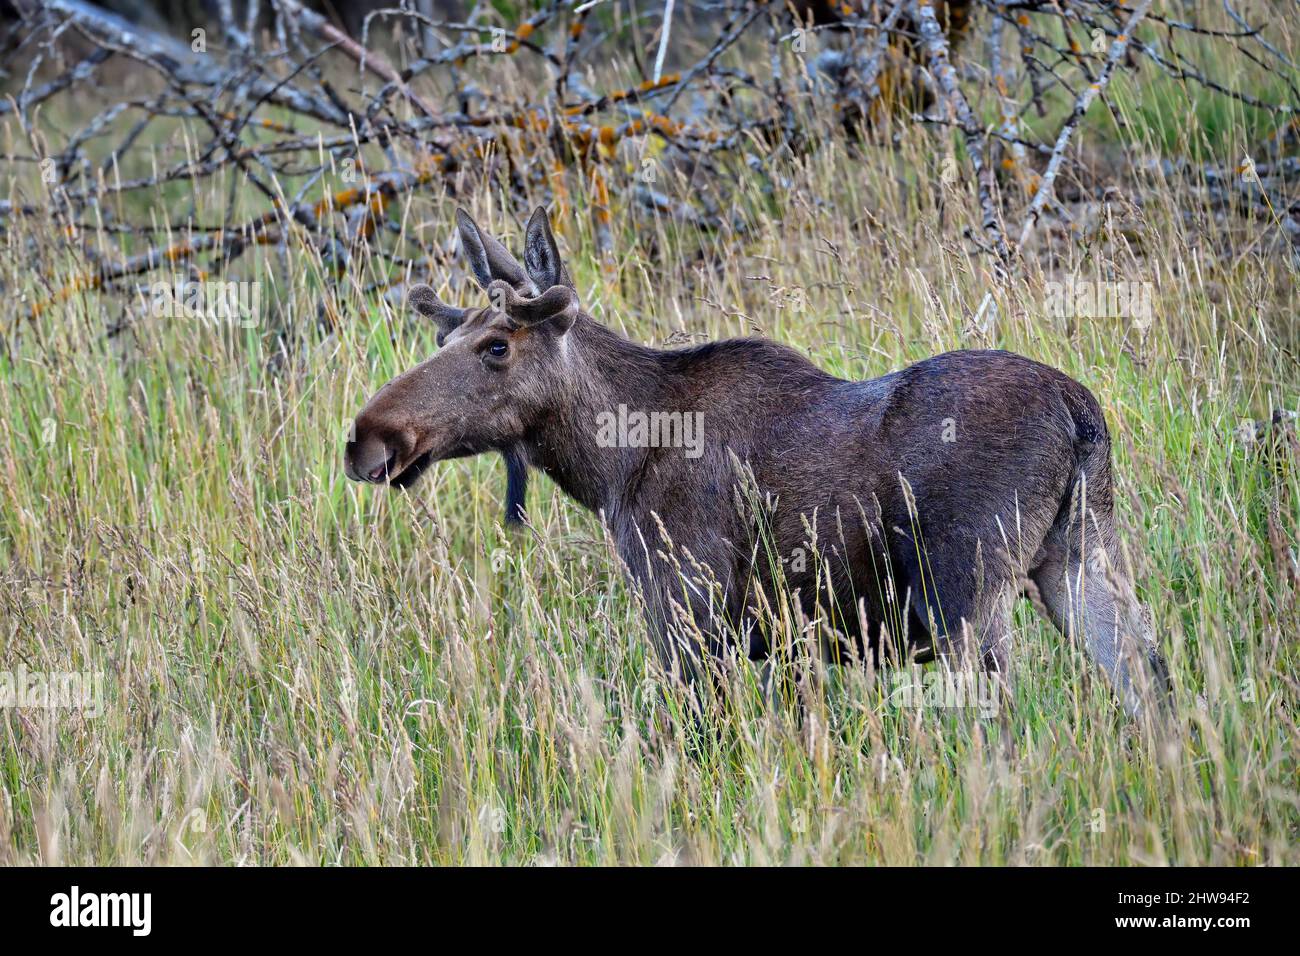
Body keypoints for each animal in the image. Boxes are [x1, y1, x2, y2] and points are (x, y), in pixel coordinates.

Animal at [343, 209, 1170, 717]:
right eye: (445, 337)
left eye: (496, 347)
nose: (368, 438)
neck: (607, 467)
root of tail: (1080, 412)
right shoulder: (783, 643)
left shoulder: (690, 615)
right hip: (1080, 557)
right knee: (1154, 689)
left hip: (970, 590)